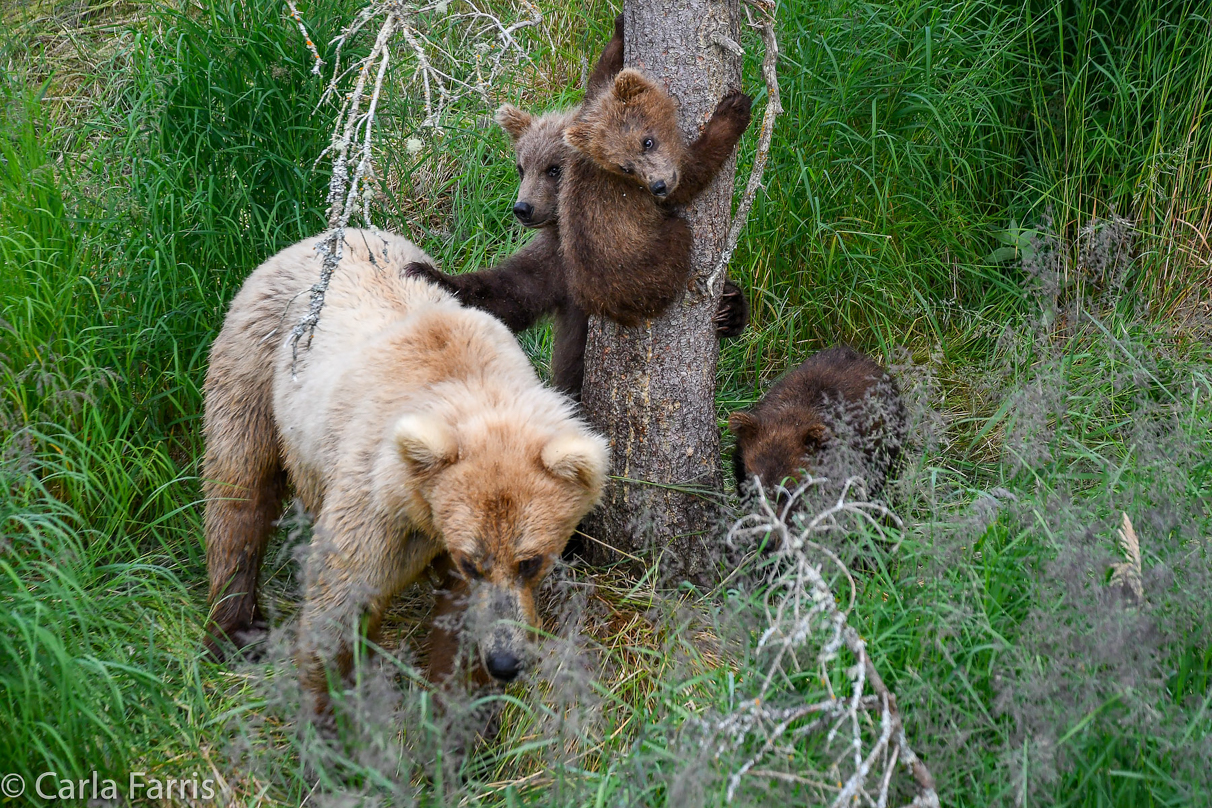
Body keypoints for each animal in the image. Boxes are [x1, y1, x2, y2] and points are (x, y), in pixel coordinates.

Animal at [203, 227, 610, 707]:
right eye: (473, 561)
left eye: (531, 561)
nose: (505, 661)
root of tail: (322, 235)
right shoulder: (379, 502)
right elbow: (341, 599)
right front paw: (332, 708)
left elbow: (456, 631)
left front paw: (456, 706)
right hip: (257, 362)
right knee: (240, 490)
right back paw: (237, 629)